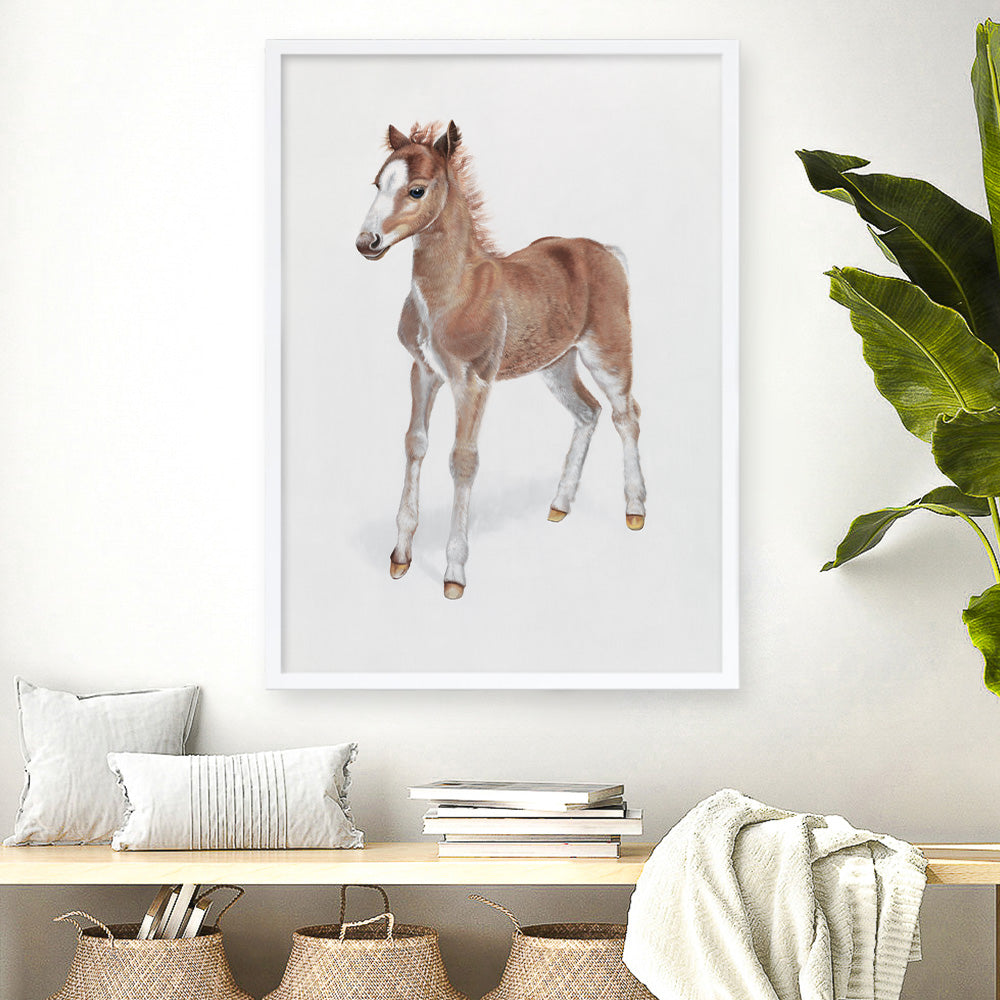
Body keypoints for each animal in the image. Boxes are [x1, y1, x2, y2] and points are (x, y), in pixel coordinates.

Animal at [355, 121, 646, 600]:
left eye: (416, 190)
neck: (452, 291)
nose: (366, 242)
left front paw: (454, 574)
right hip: (556, 364)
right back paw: (559, 505)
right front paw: (399, 558)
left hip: (608, 353)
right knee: (588, 412)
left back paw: (635, 509)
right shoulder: (424, 373)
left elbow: (463, 461)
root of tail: (606, 250)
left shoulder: (472, 382)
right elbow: (415, 444)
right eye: (378, 184)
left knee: (626, 416)